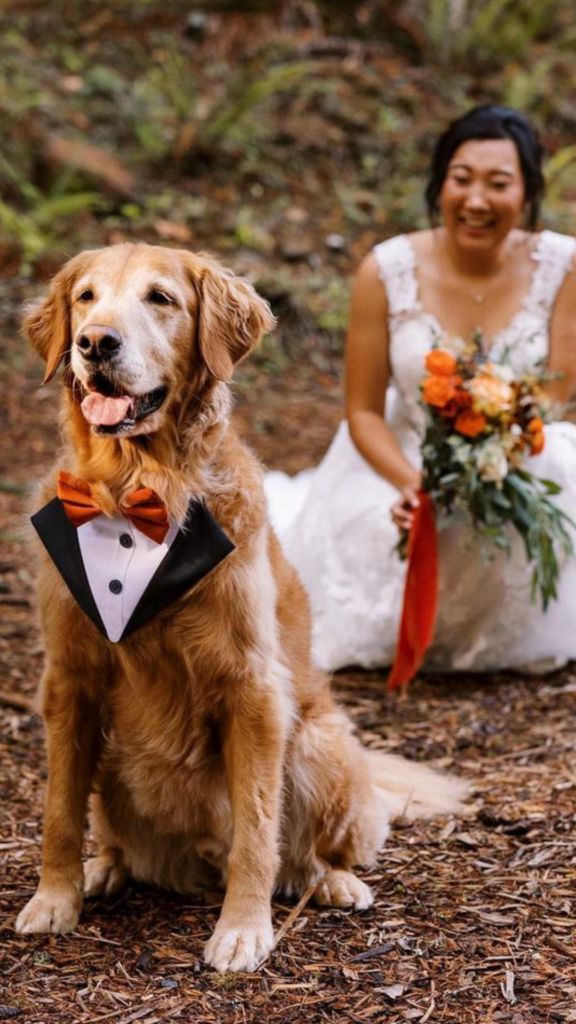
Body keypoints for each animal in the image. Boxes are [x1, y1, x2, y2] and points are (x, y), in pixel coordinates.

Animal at [15, 243, 463, 970]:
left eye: (161, 299)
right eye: (86, 297)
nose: (94, 343)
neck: (137, 492)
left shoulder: (252, 688)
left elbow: (257, 828)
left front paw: (244, 930)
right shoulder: (69, 677)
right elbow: (58, 807)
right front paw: (54, 899)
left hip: (316, 744)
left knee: (314, 850)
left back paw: (332, 882)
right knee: (112, 835)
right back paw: (104, 868)